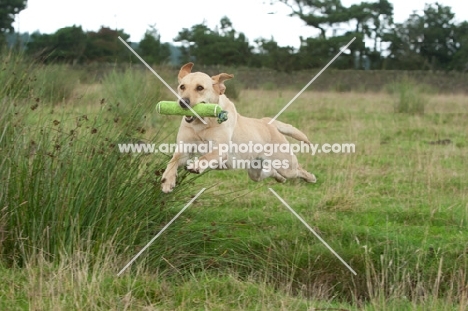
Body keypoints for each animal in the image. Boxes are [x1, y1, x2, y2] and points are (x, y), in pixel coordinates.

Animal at [159, 62, 316, 194]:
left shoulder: (220, 150)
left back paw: (310, 177)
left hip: (286, 165)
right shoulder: (184, 150)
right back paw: (280, 178)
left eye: (200, 88)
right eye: (182, 87)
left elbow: (206, 156)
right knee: (271, 171)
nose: (183, 102)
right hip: (255, 172)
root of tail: (268, 123)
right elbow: (172, 162)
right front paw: (167, 181)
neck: (202, 124)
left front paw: (196, 166)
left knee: (298, 170)